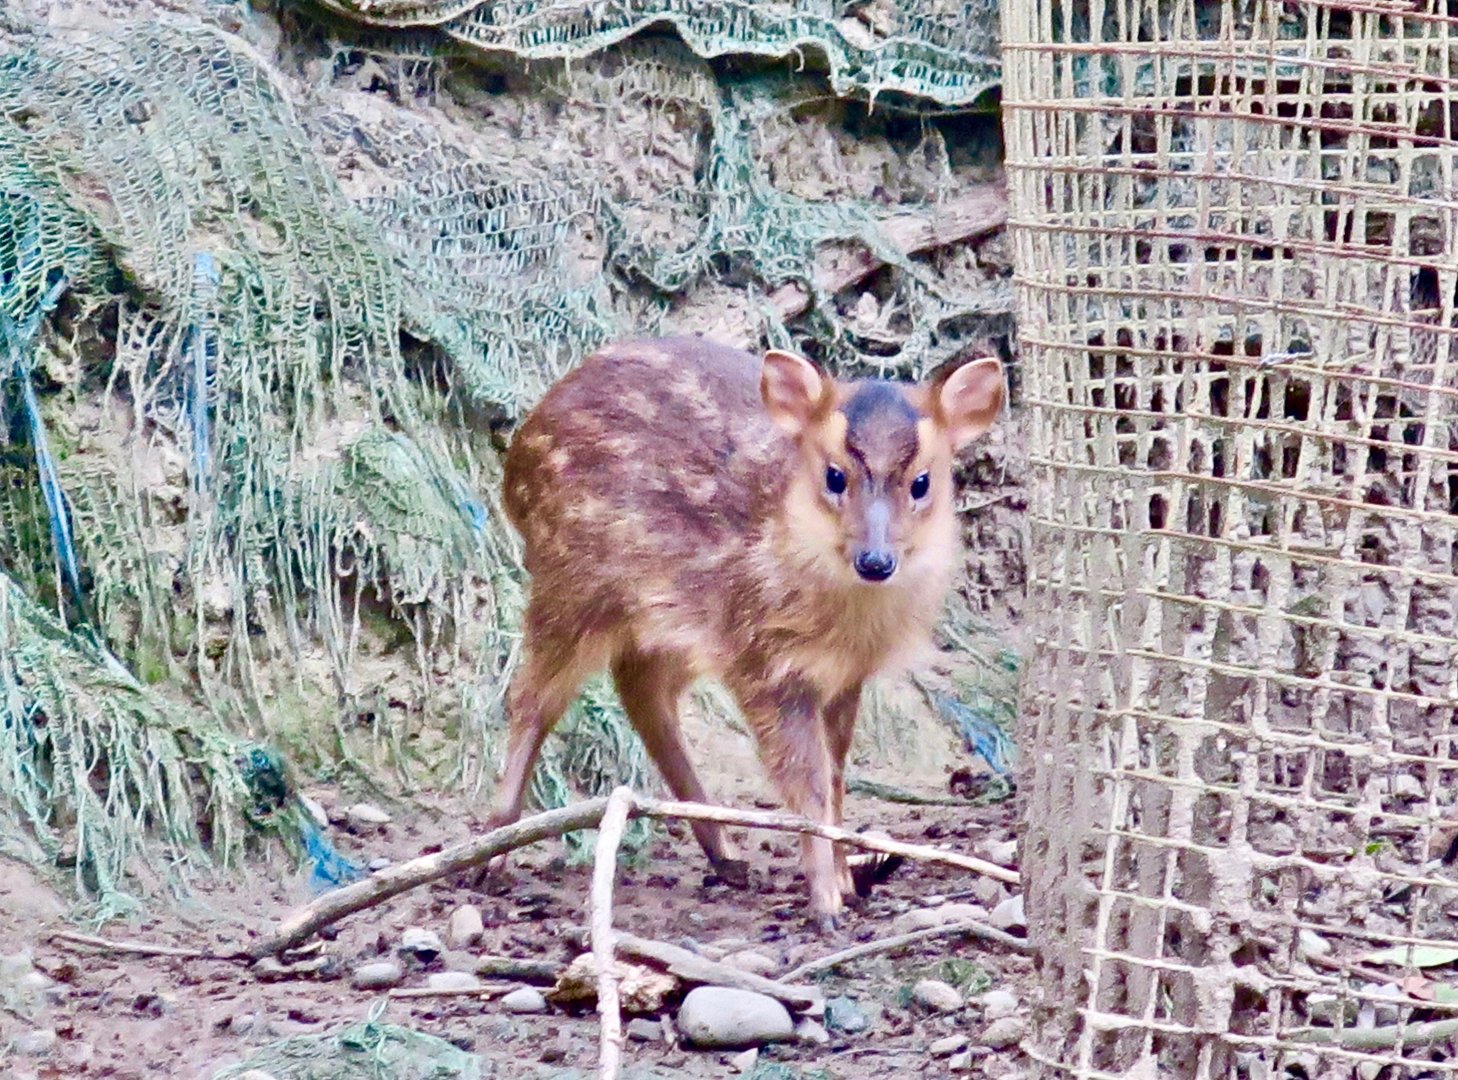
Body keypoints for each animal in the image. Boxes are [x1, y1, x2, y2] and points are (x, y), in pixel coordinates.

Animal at [488, 335, 1005, 930]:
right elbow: (806, 784)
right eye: (834, 476)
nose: (876, 561)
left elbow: (836, 778)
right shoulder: (764, 660)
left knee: (640, 689)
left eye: (922, 482)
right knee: (532, 699)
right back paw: (494, 851)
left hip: (662, 618)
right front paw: (826, 902)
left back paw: (726, 856)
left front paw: (846, 882)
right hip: (571, 580)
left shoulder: (843, 676)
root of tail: (515, 461)